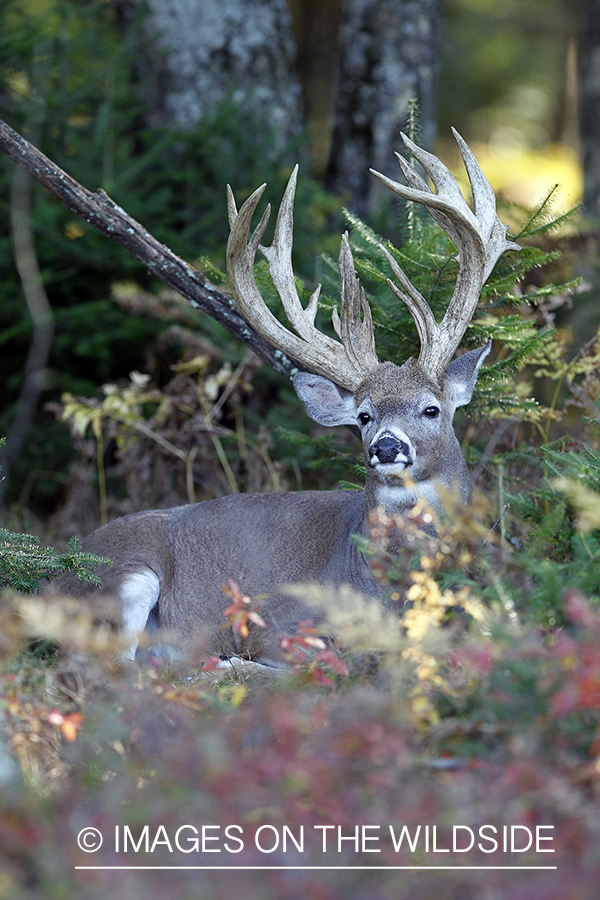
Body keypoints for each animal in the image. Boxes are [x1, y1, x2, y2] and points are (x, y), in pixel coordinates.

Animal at [59, 132, 520, 668]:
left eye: (432, 408)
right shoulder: (287, 621)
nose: (386, 447)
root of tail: (52, 571)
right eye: (363, 415)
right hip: (122, 573)